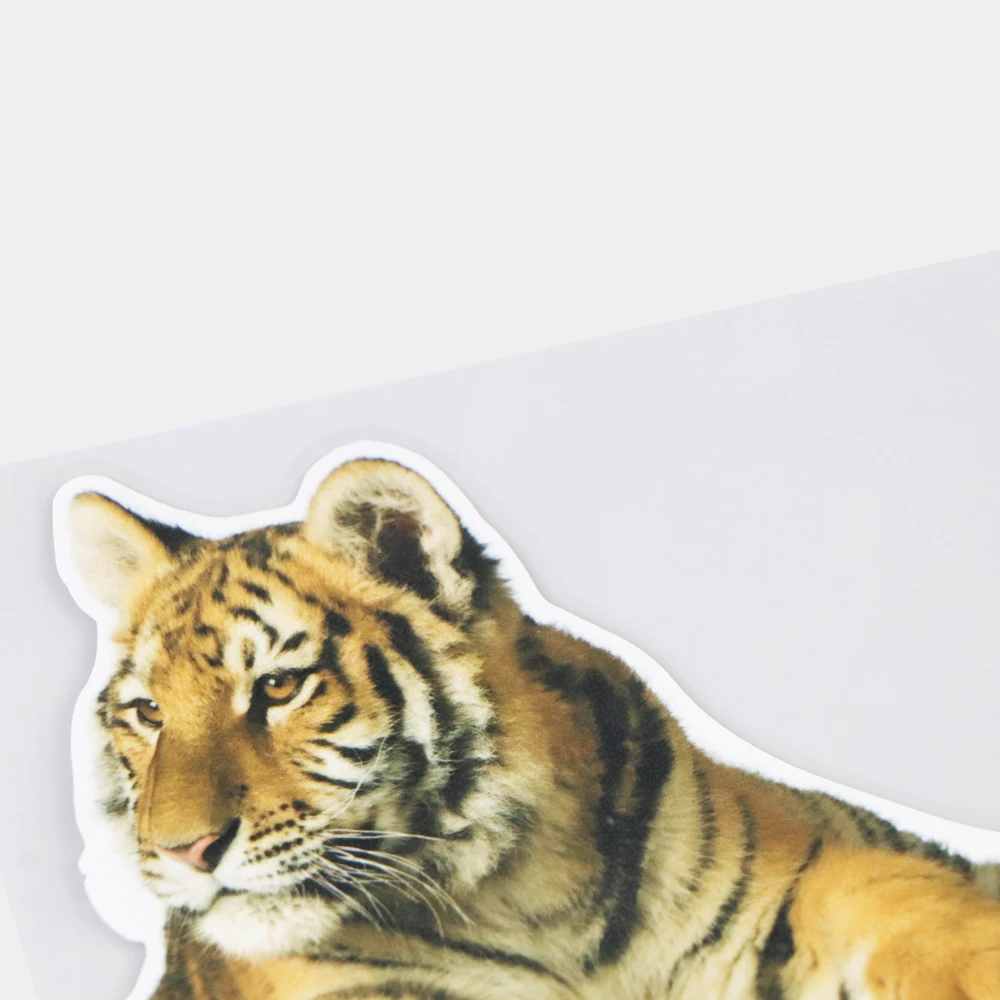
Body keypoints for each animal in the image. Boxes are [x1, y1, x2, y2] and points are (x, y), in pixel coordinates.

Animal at [62, 454, 1000, 1000]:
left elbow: (899, 897)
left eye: (280, 686)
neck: (529, 896)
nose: (184, 852)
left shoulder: (799, 868)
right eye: (149, 713)